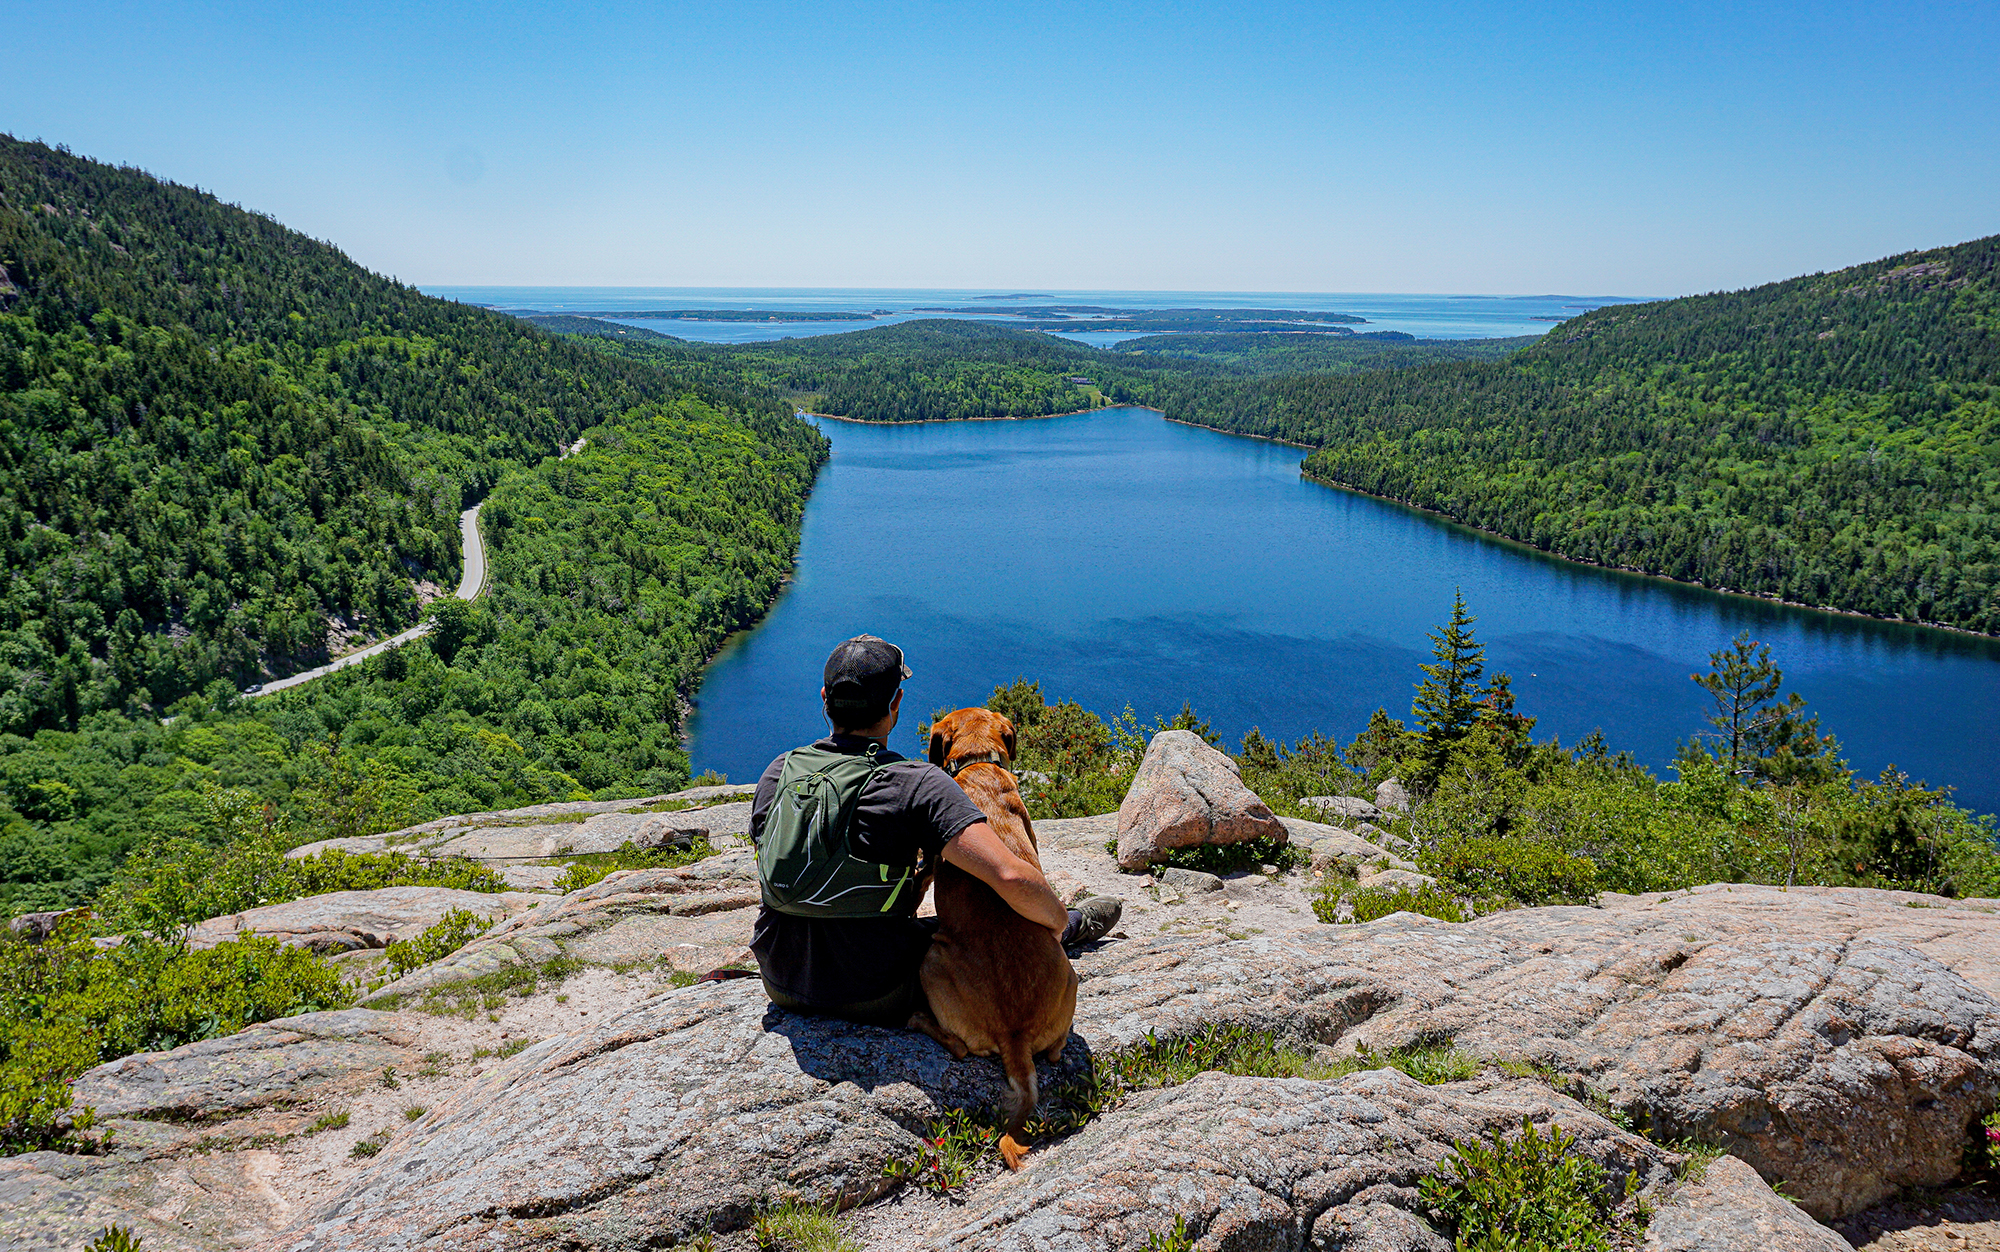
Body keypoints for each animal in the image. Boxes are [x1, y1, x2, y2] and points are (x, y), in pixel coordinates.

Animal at [916, 708, 1080, 1168]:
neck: (978, 764)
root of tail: (1015, 1034)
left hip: (932, 960)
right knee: (1051, 1049)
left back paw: (918, 1019)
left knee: (960, 1048)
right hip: (1069, 976)